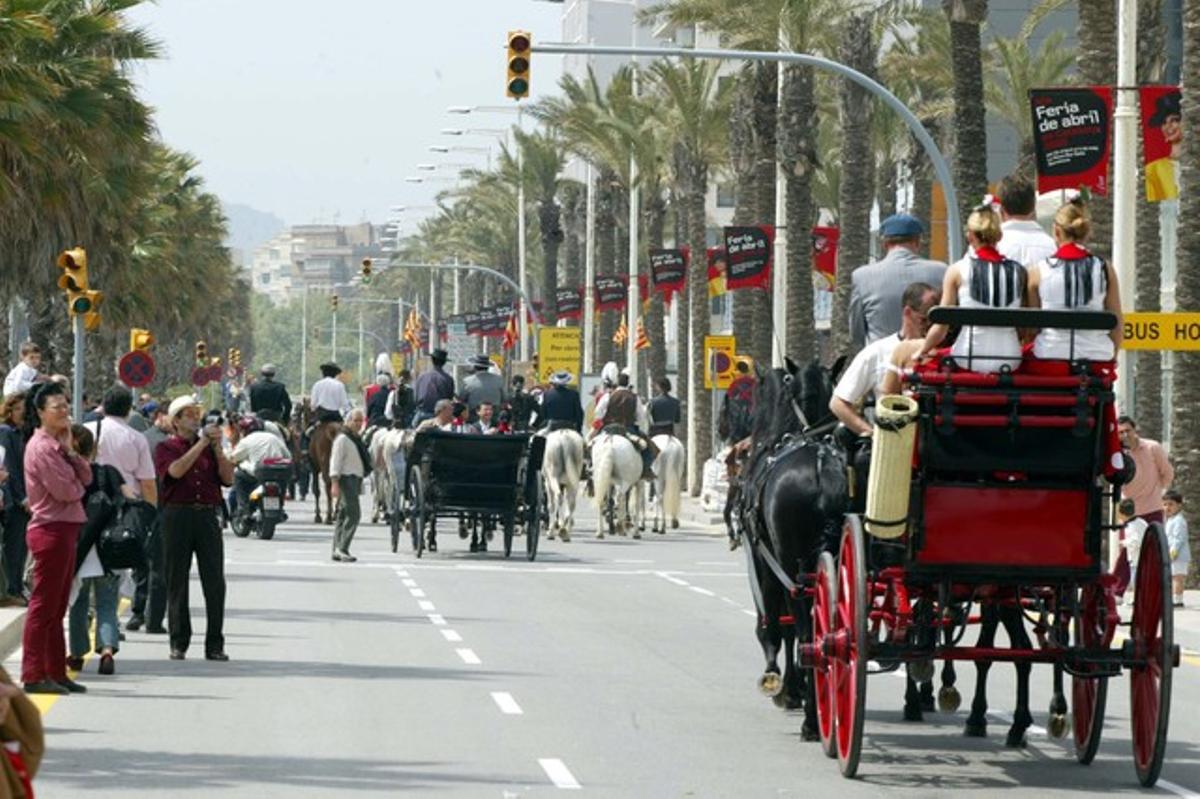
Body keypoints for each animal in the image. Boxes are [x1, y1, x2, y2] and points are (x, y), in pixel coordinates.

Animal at [734, 357, 849, 739]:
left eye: (755, 397)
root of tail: (823, 466)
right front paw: (794, 687)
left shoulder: (763, 559)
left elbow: (775, 625)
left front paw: (783, 685)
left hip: (790, 565)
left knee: (806, 630)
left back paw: (812, 720)